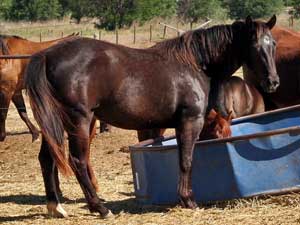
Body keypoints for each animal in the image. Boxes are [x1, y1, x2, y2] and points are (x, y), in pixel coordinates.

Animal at [25, 16, 278, 220]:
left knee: (47, 159)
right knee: (77, 160)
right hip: (79, 121)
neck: (196, 65)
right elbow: (186, 160)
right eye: (255, 45)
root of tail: (47, 55)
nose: (273, 82)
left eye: (273, 44)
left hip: (56, 123)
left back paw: (55, 207)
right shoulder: (190, 121)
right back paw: (100, 208)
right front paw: (188, 200)